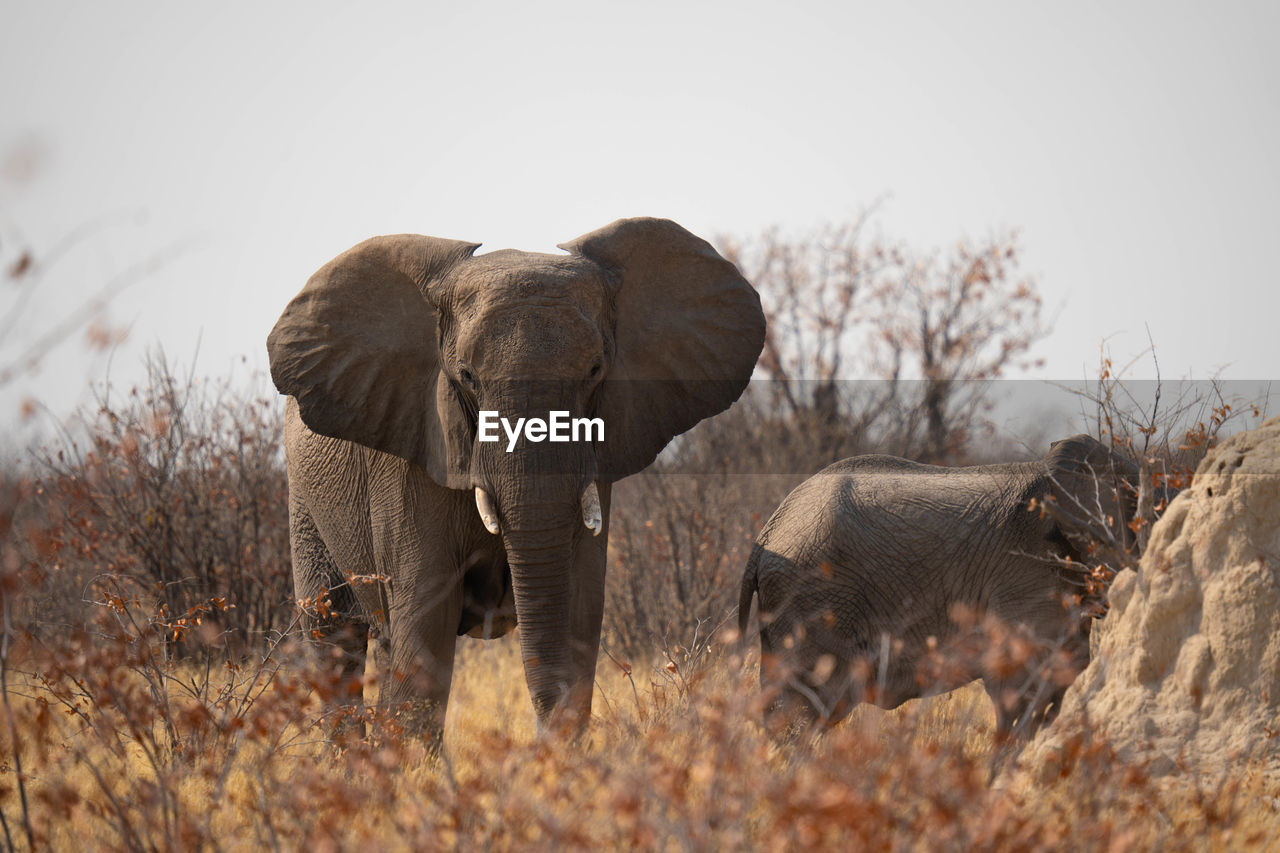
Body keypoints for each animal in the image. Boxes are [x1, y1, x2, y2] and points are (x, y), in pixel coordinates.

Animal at [267, 216, 757, 742]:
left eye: (595, 371)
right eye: (466, 375)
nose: (543, 732)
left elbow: (579, 609)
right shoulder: (410, 463)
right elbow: (423, 629)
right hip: (304, 501)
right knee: (333, 638)